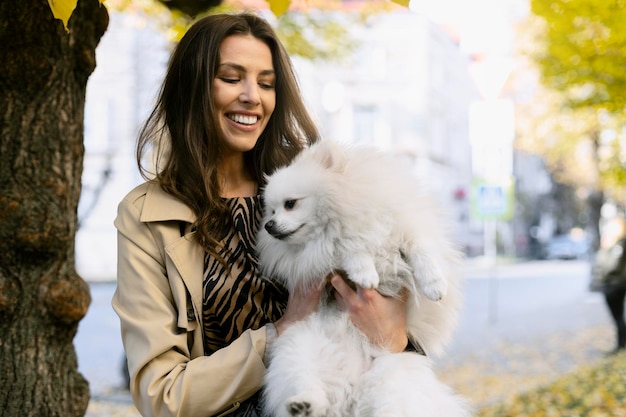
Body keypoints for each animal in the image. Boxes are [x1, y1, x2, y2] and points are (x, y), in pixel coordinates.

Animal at [258, 140, 468, 416]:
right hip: (297, 349)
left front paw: (434, 285)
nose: (269, 225)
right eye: (271, 210)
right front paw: (364, 272)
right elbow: (347, 247)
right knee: (308, 382)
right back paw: (303, 404)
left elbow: (422, 252)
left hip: (392, 380)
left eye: (290, 204)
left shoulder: (406, 226)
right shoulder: (327, 252)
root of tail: (351, 388)